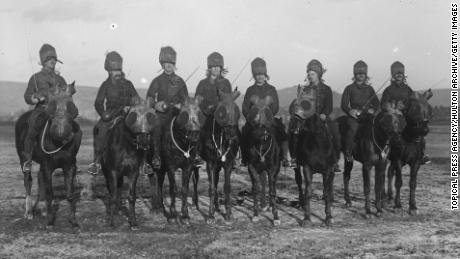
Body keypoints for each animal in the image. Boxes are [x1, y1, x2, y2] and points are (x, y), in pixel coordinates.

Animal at [15, 82, 82, 230]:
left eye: (72, 108)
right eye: (51, 107)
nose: (61, 132)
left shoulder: (69, 166)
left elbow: (70, 194)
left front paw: (73, 221)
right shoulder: (48, 166)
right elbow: (50, 194)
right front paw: (50, 222)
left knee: (40, 179)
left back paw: (42, 208)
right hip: (23, 158)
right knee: (28, 181)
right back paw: (29, 212)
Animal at [102, 98, 162, 230]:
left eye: (150, 116)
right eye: (133, 116)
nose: (143, 141)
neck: (126, 148)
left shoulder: (133, 173)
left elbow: (131, 197)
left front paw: (133, 222)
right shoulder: (112, 172)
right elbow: (113, 196)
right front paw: (112, 222)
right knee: (112, 191)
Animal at [152, 96, 206, 224]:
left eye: (199, 113)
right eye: (184, 114)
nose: (195, 134)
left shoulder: (188, 167)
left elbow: (184, 190)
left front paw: (185, 214)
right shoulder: (170, 167)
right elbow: (173, 189)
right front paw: (172, 214)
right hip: (160, 167)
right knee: (158, 184)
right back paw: (159, 207)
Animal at [190, 90, 241, 224]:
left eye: (237, 111)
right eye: (221, 112)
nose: (232, 136)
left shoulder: (228, 164)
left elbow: (226, 187)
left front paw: (228, 214)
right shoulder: (211, 164)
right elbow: (211, 188)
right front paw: (210, 215)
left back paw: (217, 206)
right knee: (195, 181)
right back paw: (195, 203)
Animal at [246, 96, 282, 226]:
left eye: (267, 109)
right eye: (253, 107)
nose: (259, 123)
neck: (261, 144)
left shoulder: (272, 169)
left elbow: (272, 191)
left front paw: (276, 216)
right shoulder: (251, 167)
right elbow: (255, 189)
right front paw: (255, 214)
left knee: (272, 184)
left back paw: (270, 205)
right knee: (262, 182)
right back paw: (264, 205)